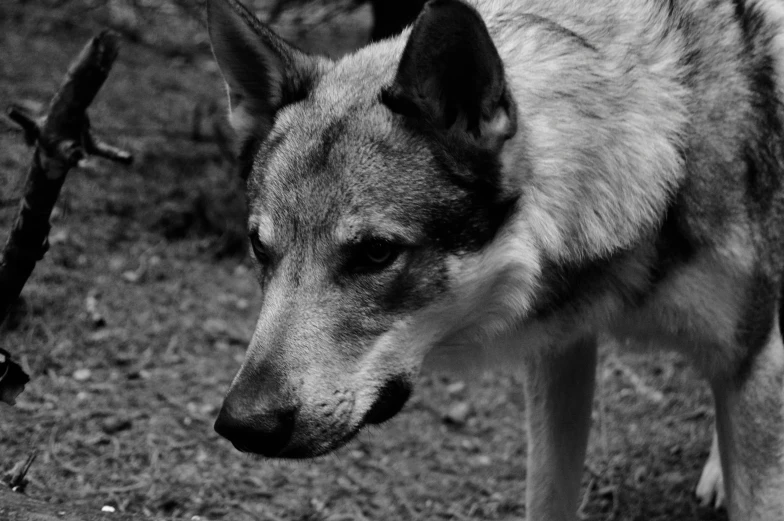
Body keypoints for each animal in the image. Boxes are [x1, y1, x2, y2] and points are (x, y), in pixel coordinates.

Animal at [208, 0, 784, 516]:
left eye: (376, 253)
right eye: (260, 247)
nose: (243, 425)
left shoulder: (755, 360)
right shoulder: (560, 350)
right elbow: (547, 500)